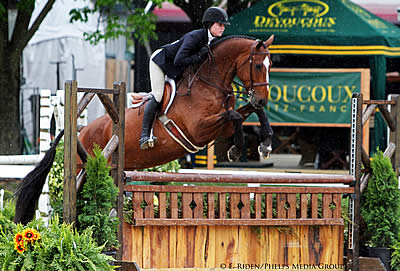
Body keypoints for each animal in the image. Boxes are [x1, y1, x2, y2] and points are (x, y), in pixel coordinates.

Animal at [14, 34, 274, 225]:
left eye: (270, 65)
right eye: (258, 65)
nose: (263, 98)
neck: (210, 83)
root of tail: (82, 130)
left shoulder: (221, 127)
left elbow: (249, 113)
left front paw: (266, 142)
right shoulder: (200, 129)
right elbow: (235, 116)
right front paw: (237, 149)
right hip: (85, 169)